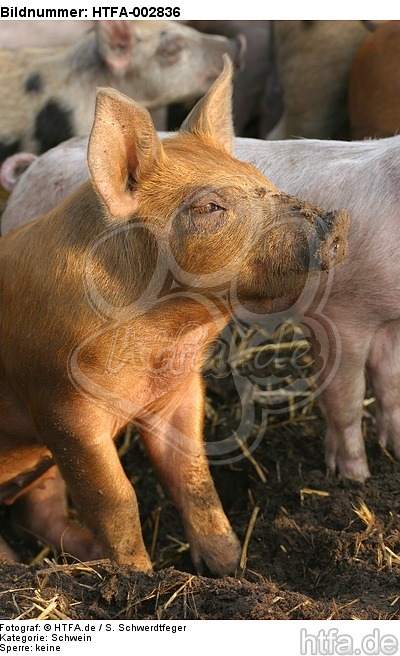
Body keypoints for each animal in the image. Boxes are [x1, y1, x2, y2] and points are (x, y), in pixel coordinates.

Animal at [0, 59, 349, 568]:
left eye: (261, 181)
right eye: (209, 206)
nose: (336, 221)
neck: (164, 339)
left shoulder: (180, 392)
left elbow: (195, 479)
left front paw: (231, 568)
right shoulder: (62, 405)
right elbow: (116, 499)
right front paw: (137, 576)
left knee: (40, 511)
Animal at [5, 132, 400, 485]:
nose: (339, 222)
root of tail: (31, 171)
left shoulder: (388, 322)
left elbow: (389, 384)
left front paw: (392, 449)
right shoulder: (343, 312)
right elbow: (348, 399)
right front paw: (356, 478)